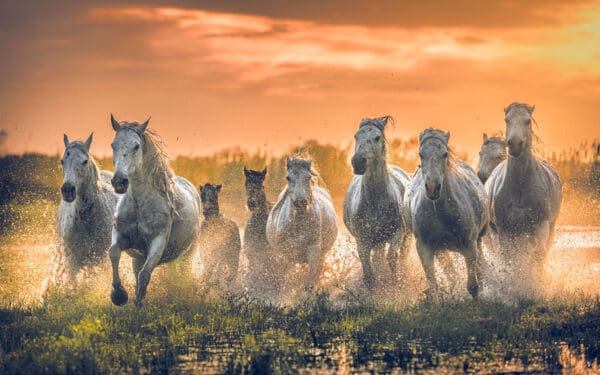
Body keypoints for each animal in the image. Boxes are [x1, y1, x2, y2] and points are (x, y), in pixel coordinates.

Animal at [108, 116, 202, 306]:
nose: (119, 182)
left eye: (136, 146)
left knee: (182, 273)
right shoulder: (122, 236)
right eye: (113, 145)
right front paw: (119, 294)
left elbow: (145, 274)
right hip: (138, 258)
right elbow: (113, 253)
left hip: (188, 254)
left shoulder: (158, 242)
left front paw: (137, 302)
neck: (139, 205)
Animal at [268, 157, 338, 290]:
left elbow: (311, 277)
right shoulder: (285, 253)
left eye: (308, 177)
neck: (299, 223)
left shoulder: (314, 248)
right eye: (288, 178)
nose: (300, 203)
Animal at [342, 117, 412, 290]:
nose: (358, 162)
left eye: (377, 137)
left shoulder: (397, 232)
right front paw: (371, 289)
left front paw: (395, 285)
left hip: (406, 237)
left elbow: (392, 257)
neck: (375, 201)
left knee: (402, 255)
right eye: (356, 136)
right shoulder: (362, 239)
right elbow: (367, 266)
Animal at [406, 129, 490, 300]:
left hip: (479, 238)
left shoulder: (469, 245)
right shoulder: (424, 246)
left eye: (444, 154)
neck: (442, 214)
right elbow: (434, 286)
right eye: (420, 154)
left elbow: (473, 286)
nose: (433, 188)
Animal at [482, 103, 564, 284]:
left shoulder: (540, 226)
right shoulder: (505, 231)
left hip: (548, 228)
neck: (520, 188)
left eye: (528, 121)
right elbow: (510, 260)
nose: (515, 144)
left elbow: (537, 257)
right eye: (507, 119)